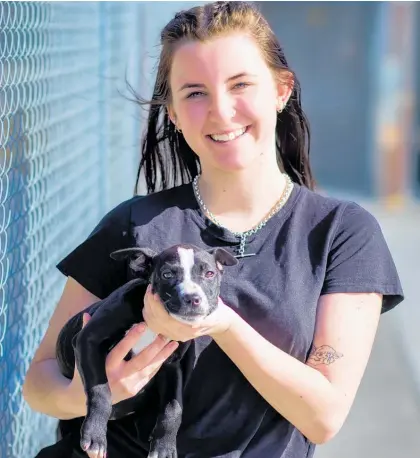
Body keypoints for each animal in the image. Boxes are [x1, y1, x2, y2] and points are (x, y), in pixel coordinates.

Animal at [55, 242, 238, 456]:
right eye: (167, 274)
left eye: (209, 273)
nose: (193, 298)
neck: (153, 323)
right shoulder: (87, 340)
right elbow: (100, 391)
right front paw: (95, 434)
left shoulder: (171, 365)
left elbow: (173, 408)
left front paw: (164, 446)